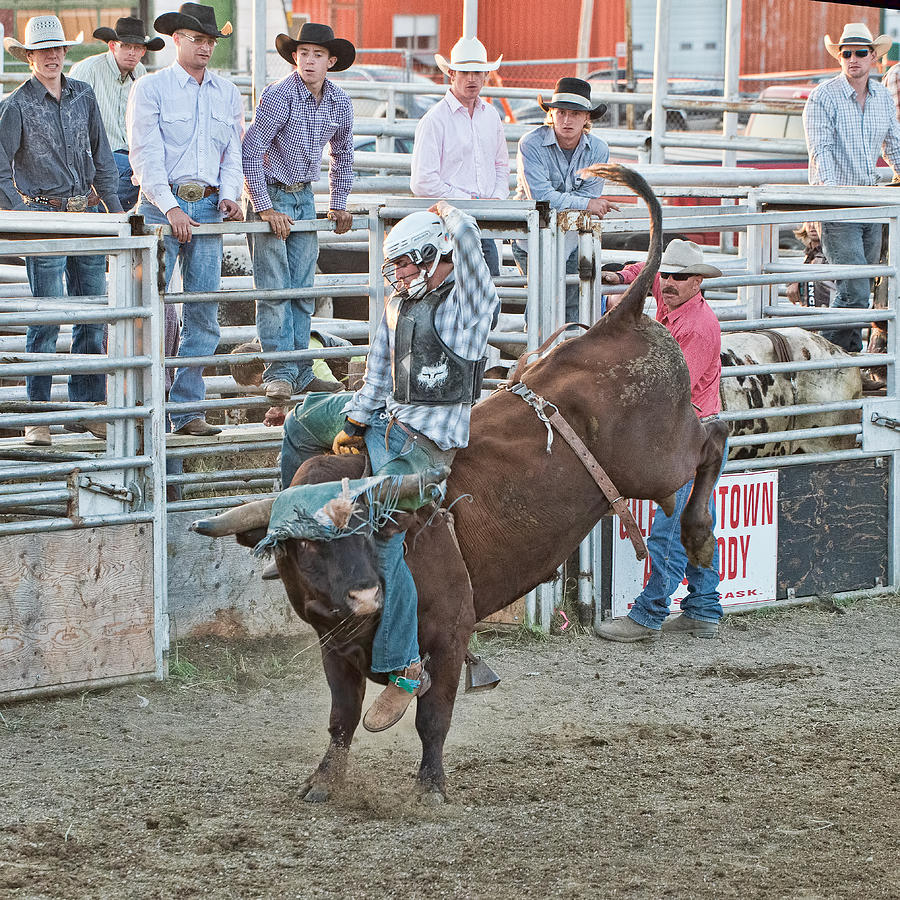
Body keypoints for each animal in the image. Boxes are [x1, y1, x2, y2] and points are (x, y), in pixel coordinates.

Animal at [192, 165, 732, 804]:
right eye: (304, 546)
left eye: (373, 533)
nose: (367, 597)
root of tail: (614, 318)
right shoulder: (335, 647)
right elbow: (342, 717)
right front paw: (325, 778)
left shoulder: (449, 636)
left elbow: (434, 717)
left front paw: (430, 786)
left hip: (657, 458)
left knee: (714, 436)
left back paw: (699, 534)